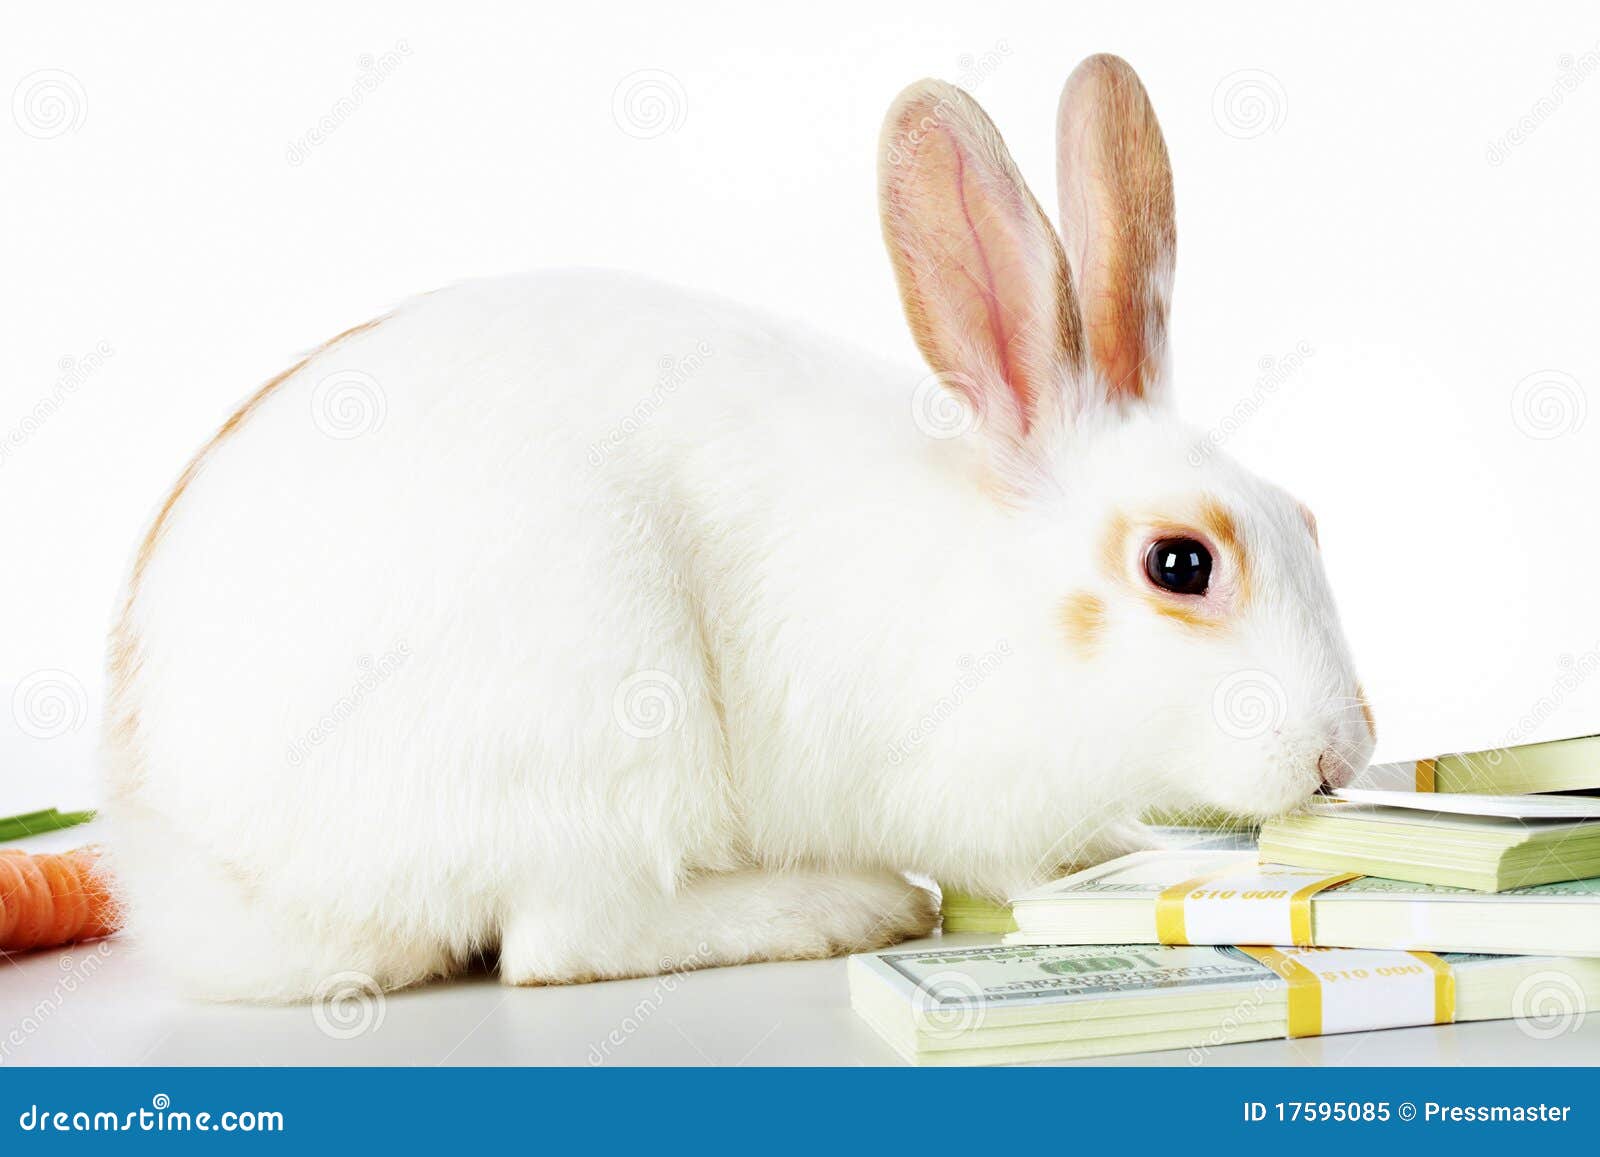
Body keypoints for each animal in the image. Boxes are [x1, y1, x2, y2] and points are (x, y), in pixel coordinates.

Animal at [101, 54, 1374, 1001]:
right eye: (1179, 561)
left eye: (1308, 518)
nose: (1341, 754)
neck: (1003, 595)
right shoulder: (965, 794)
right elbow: (1023, 861)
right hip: (600, 716)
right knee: (564, 938)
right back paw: (844, 905)